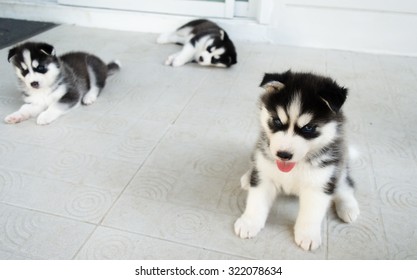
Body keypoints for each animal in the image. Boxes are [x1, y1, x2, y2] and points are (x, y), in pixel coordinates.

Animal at [236, 71, 360, 250]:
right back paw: (247, 177)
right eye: (277, 121)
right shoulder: (264, 177)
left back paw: (348, 207)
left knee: (345, 184)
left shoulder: (319, 183)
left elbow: (311, 213)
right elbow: (256, 200)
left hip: (339, 166)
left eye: (308, 128)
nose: (283, 154)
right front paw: (249, 223)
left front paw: (308, 235)